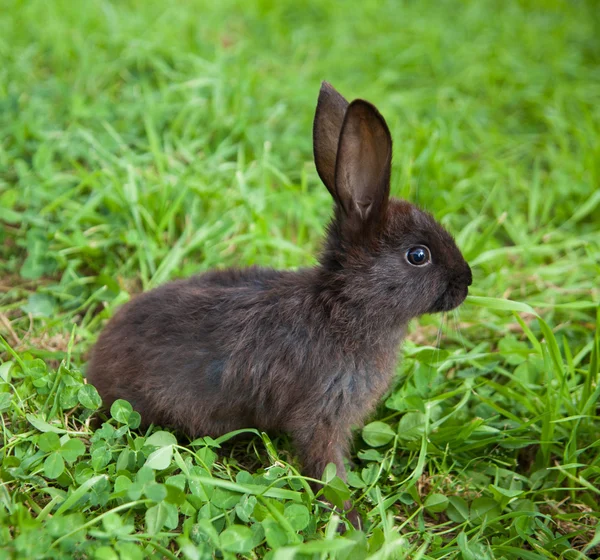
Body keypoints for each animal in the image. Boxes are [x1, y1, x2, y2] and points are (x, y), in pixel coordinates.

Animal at [86, 81, 472, 528]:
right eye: (418, 255)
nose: (467, 281)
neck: (344, 305)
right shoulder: (322, 414)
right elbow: (325, 465)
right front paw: (352, 519)